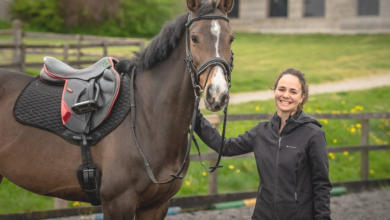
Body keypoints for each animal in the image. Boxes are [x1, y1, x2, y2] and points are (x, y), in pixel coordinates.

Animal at [0, 0, 235, 219]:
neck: (147, 118)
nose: (217, 93)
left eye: (231, 38)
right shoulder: (118, 203)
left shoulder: (157, 205)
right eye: (194, 38)